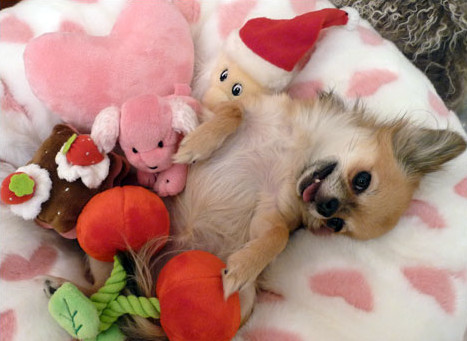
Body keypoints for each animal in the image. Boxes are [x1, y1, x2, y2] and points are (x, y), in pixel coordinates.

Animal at [122, 91, 466, 338]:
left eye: (336, 225)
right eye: (362, 180)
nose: (327, 207)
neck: (297, 155)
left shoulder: (270, 213)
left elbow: (277, 235)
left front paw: (243, 266)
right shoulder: (231, 107)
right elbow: (233, 111)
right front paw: (196, 143)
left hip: (246, 301)